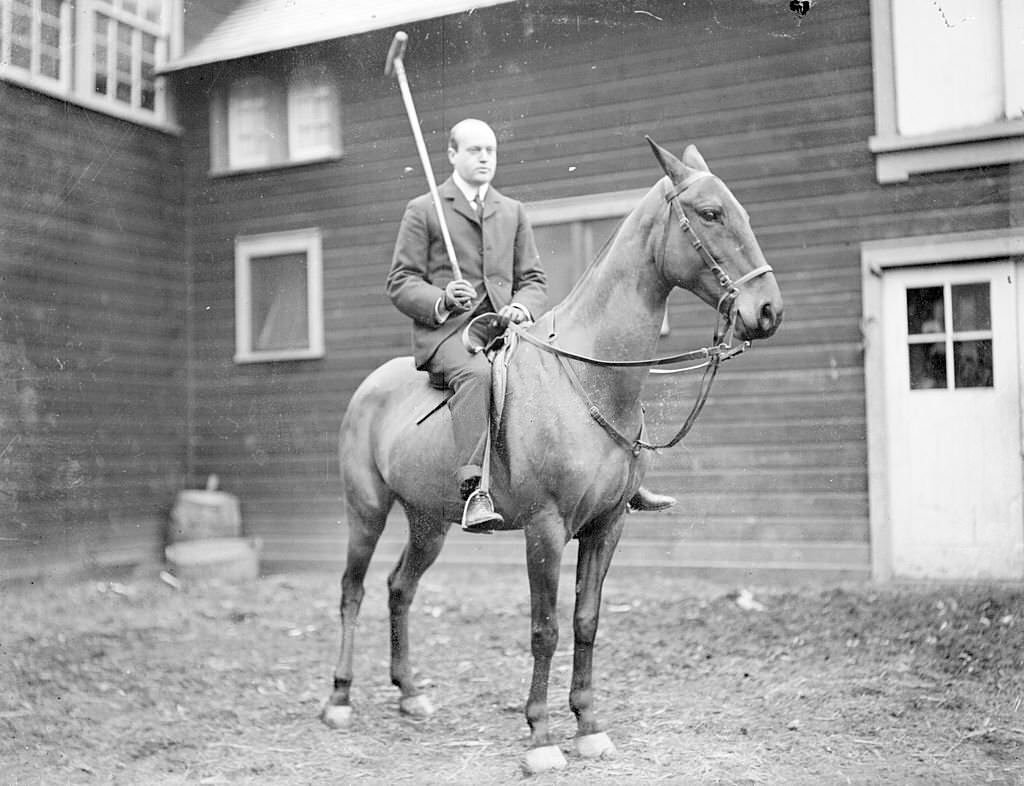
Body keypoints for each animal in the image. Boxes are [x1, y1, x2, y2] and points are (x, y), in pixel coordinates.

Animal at [319, 138, 782, 769]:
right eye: (710, 214)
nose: (769, 311)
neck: (590, 376)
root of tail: (370, 386)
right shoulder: (545, 528)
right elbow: (545, 628)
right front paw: (540, 736)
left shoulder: (606, 526)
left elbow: (585, 621)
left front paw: (588, 724)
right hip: (365, 512)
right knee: (353, 590)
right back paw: (339, 698)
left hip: (428, 522)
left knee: (399, 589)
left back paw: (410, 692)